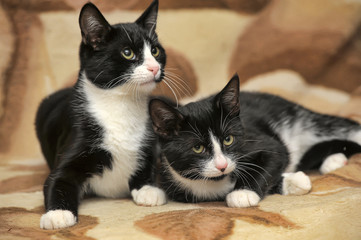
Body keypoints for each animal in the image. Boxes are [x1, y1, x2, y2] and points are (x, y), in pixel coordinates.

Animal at [34, 0, 167, 229]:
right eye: (127, 52)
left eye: (156, 51)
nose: (154, 67)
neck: (121, 104)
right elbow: (57, 179)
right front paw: (58, 213)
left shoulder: (149, 140)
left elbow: (148, 166)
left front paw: (149, 189)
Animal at [148, 74, 360, 206]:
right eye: (198, 148)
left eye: (228, 139)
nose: (222, 165)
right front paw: (295, 181)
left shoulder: (262, 142)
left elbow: (273, 158)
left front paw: (243, 192)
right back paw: (334, 161)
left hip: (307, 119)